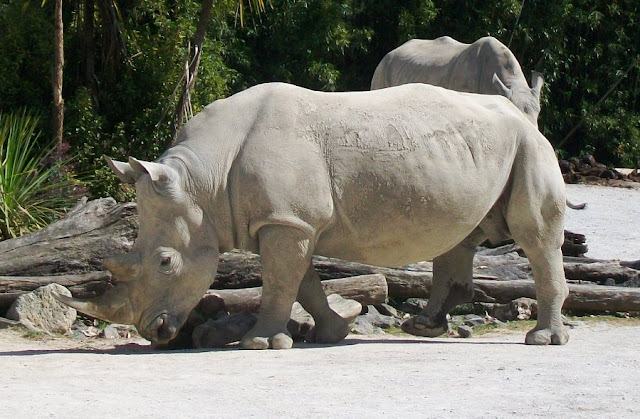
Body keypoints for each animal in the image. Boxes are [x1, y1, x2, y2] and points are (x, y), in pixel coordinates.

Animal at [55, 82, 570, 349]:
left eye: (165, 262)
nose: (154, 332)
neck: (204, 182)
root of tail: (524, 115)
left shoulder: (287, 221)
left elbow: (280, 282)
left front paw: (260, 344)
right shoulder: (289, 220)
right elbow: (301, 282)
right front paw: (332, 333)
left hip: (529, 145)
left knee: (534, 235)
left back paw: (542, 340)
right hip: (480, 151)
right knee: (464, 235)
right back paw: (423, 328)